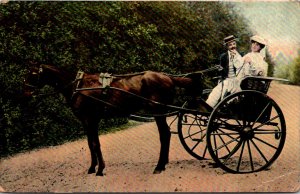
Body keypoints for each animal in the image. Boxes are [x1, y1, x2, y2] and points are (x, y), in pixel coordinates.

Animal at [22, 64, 202, 176]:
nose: (25, 94)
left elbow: (95, 144)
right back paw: (163, 164)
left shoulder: (91, 119)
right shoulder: (88, 121)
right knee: (166, 135)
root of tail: (169, 77)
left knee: (164, 135)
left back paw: (159, 166)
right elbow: (90, 144)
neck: (78, 86)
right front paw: (92, 167)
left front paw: (100, 169)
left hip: (158, 110)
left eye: (33, 75)